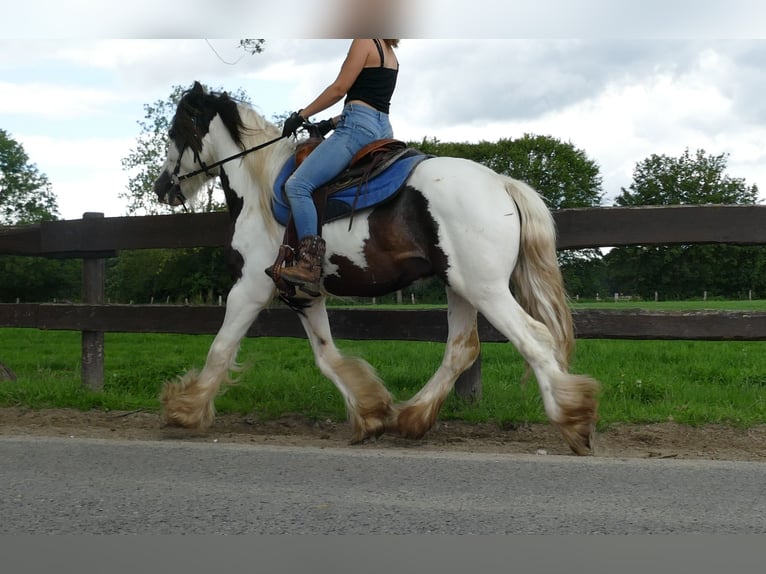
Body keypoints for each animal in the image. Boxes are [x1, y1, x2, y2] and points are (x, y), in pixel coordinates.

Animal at [153, 82, 604, 460]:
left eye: (175, 132)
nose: (161, 187)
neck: (262, 191)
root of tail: (502, 184)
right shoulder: (303, 294)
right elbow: (326, 355)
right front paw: (370, 413)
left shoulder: (249, 288)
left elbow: (220, 348)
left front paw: (184, 409)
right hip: (460, 286)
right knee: (462, 348)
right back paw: (412, 417)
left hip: (485, 289)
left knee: (534, 338)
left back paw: (573, 419)